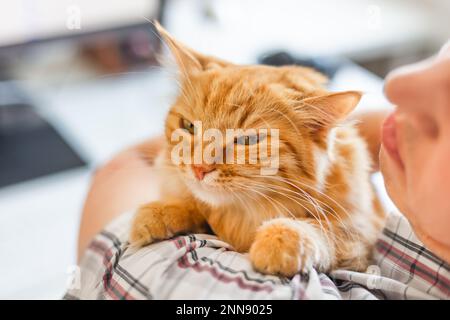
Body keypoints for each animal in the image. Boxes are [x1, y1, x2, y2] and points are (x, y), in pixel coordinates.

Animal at [128, 23, 384, 276]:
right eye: (189, 126)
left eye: (248, 141)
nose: (198, 169)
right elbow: (195, 206)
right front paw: (161, 212)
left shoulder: (361, 233)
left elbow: (325, 228)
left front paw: (281, 239)